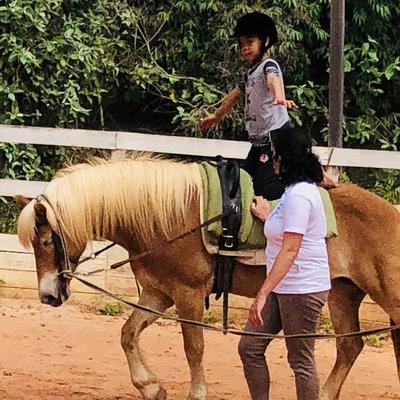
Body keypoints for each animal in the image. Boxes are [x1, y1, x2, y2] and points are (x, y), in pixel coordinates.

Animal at [15, 153, 400, 400]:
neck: (165, 216)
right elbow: (128, 334)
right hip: (342, 294)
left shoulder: (186, 294)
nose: (47, 295)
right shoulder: (158, 293)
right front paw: (151, 387)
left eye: (47, 240)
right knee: (350, 346)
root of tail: (391, 215)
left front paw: (195, 393)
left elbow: (194, 347)